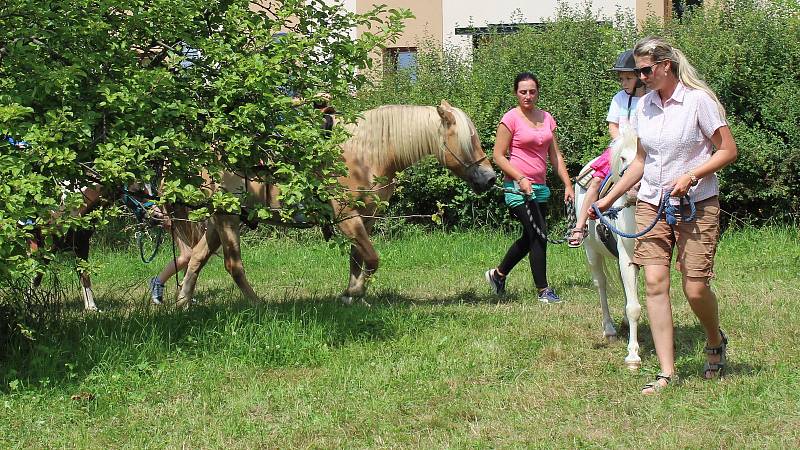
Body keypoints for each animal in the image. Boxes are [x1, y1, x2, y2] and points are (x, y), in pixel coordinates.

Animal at [177, 100, 494, 308]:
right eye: (470, 139)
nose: (491, 178)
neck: (366, 151)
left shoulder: (365, 219)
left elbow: (358, 259)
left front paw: (351, 294)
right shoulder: (347, 218)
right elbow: (372, 259)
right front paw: (355, 293)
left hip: (219, 220)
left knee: (196, 258)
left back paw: (183, 303)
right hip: (228, 219)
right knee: (233, 265)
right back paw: (257, 304)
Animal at [576, 130, 644, 370]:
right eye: (622, 158)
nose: (634, 190)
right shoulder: (627, 257)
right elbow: (634, 307)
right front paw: (633, 356)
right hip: (592, 253)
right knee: (601, 285)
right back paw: (610, 329)